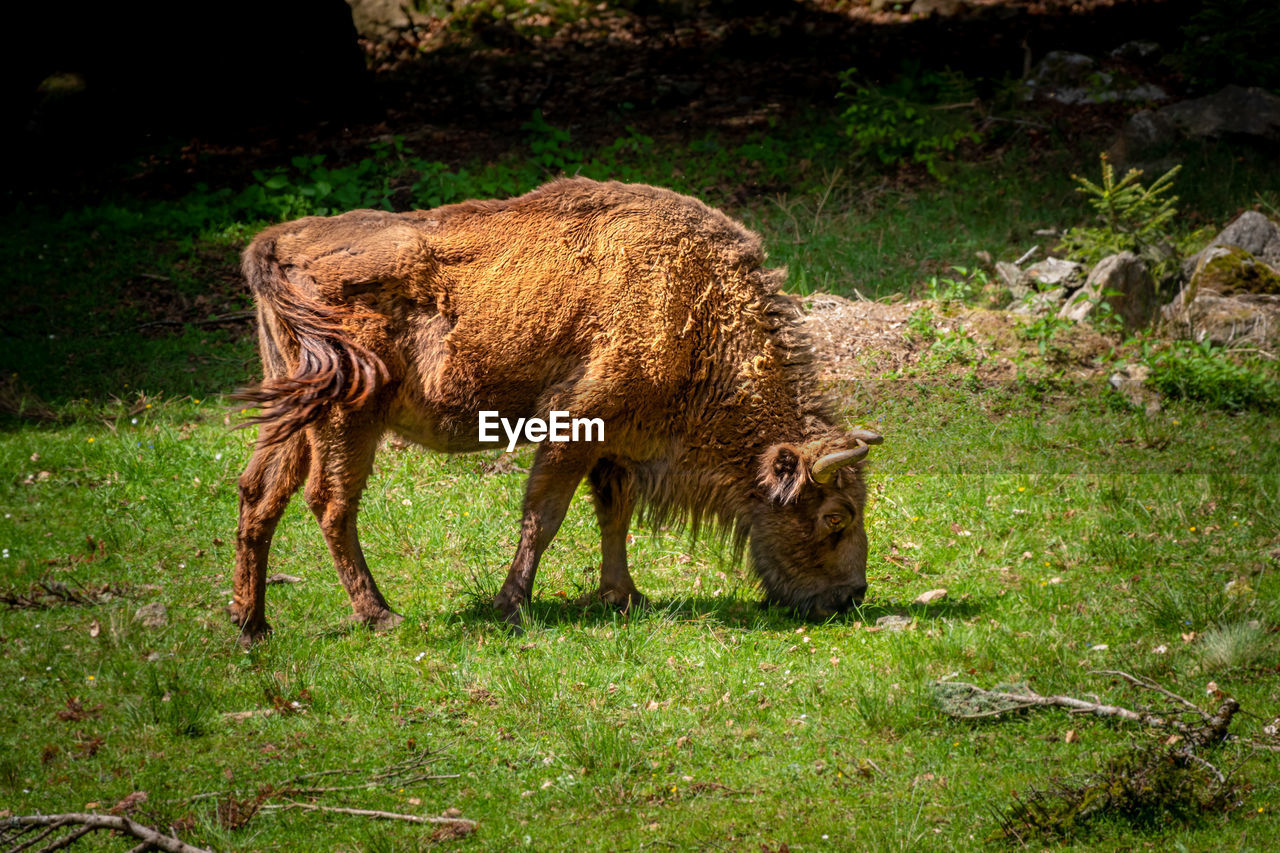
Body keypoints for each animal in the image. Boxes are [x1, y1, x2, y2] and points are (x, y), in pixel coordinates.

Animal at [230, 179, 880, 645]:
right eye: (834, 518)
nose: (850, 596)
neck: (696, 307)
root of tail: (275, 245)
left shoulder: (616, 446)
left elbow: (613, 515)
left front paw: (624, 596)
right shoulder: (575, 426)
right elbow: (544, 515)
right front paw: (511, 605)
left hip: (292, 410)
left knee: (260, 494)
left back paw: (252, 625)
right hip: (349, 417)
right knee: (330, 503)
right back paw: (380, 615)